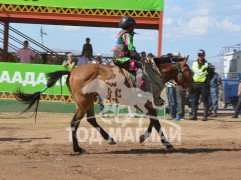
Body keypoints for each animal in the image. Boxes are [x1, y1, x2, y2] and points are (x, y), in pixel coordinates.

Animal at [15, 56, 193, 153]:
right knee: (74, 123)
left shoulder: (145, 104)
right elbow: (155, 123)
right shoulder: (147, 103)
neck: (153, 73)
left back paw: (108, 139)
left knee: (90, 120)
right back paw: (77, 149)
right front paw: (167, 144)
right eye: (188, 71)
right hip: (83, 103)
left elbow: (152, 122)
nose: (193, 86)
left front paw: (144, 137)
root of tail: (72, 71)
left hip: (88, 102)